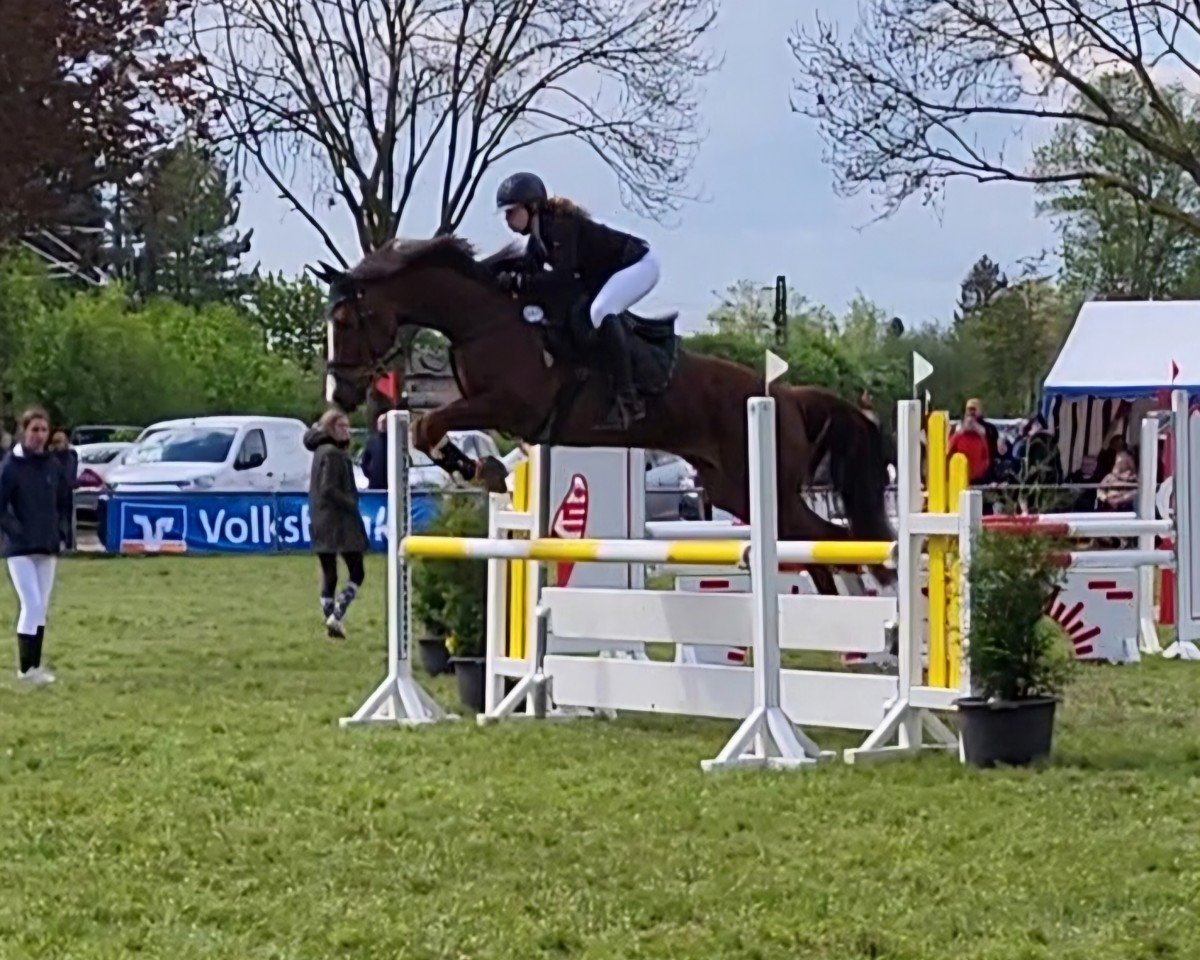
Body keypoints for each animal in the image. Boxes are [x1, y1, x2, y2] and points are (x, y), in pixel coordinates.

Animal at [318, 235, 894, 594]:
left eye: (345, 321)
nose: (340, 395)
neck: (487, 321)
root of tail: (788, 396)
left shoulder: (512, 406)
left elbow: (426, 424)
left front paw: (484, 470)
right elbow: (424, 428)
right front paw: (484, 470)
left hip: (767, 487)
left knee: (834, 540)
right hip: (735, 490)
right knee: (817, 545)